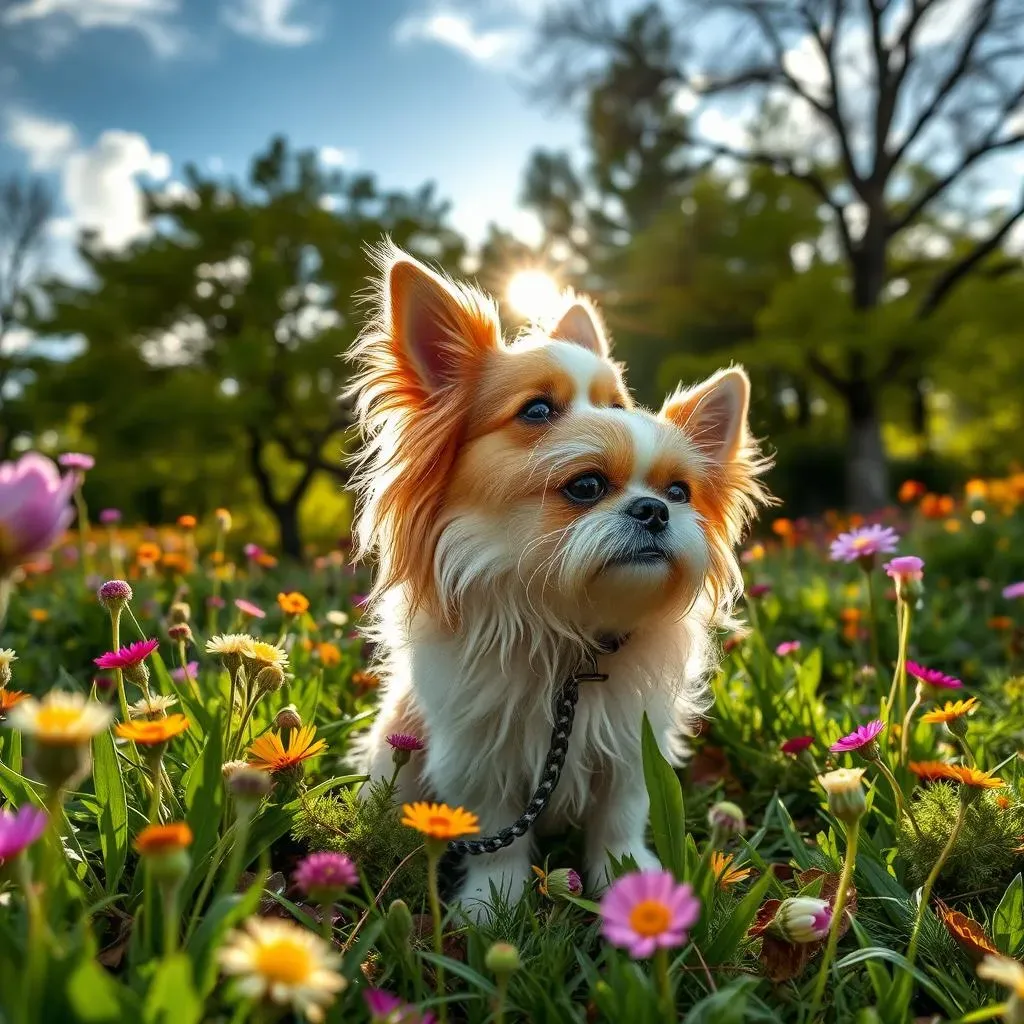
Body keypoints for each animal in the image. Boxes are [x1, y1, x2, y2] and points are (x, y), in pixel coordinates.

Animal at [346, 243, 770, 917]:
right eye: (586, 486)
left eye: (679, 493)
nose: (655, 510)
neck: (566, 632)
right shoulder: (480, 755)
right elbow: (496, 832)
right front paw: (493, 903)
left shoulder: (629, 747)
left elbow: (620, 821)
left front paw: (631, 885)